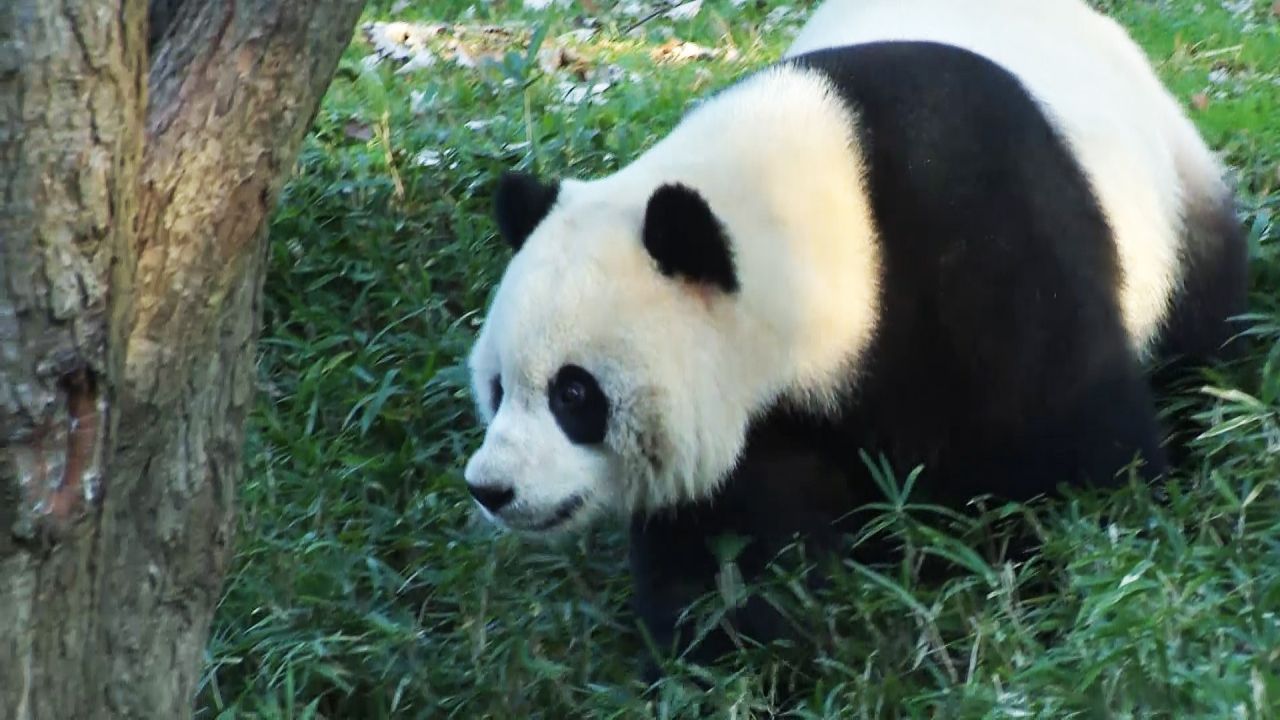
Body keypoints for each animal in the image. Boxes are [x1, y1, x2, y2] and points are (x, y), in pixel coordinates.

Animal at [463, 0, 1249, 671]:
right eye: (498, 388)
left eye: (573, 393)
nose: (491, 488)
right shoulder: (768, 413)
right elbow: (728, 543)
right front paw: (742, 646)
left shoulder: (987, 243)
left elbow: (1070, 443)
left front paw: (1068, 582)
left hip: (1173, 207)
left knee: (1202, 338)